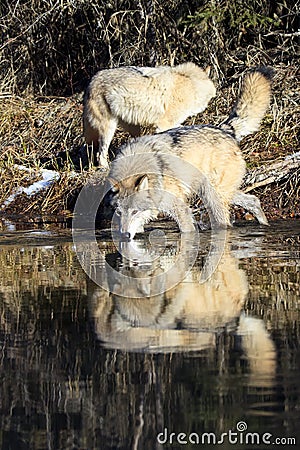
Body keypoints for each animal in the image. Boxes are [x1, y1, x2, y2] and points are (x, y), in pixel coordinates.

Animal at [83, 63, 217, 167]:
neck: (192, 86)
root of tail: (91, 81)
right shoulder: (163, 125)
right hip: (108, 129)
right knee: (100, 155)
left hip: (133, 128)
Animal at [106, 67, 272, 239]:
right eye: (119, 213)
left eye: (134, 211)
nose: (124, 235)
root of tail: (225, 130)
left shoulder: (179, 208)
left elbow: (187, 231)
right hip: (216, 192)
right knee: (253, 200)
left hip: (214, 199)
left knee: (226, 222)